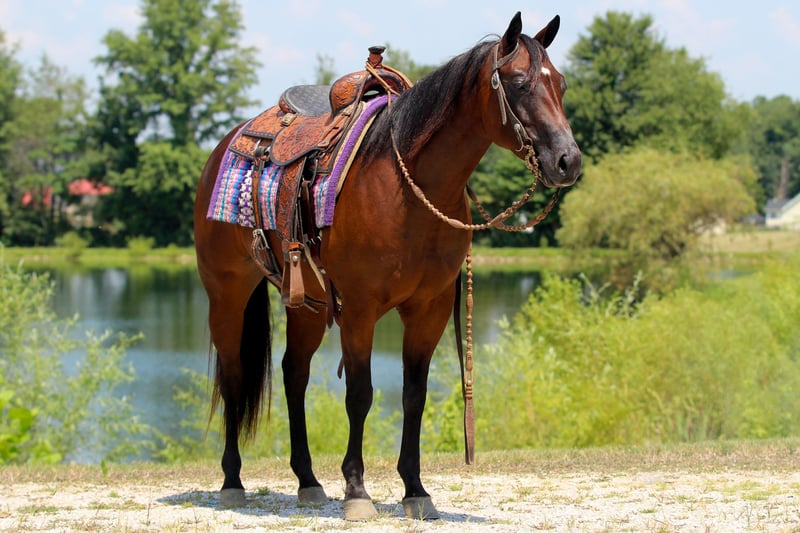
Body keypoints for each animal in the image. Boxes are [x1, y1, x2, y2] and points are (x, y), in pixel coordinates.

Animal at [193, 11, 581, 521]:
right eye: (518, 84)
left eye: (561, 85)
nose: (568, 161)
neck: (407, 187)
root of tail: (225, 146)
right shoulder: (360, 310)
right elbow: (360, 396)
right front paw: (357, 490)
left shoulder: (427, 309)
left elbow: (413, 396)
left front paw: (415, 489)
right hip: (227, 292)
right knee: (234, 373)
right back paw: (232, 481)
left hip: (307, 304)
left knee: (294, 374)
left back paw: (308, 481)